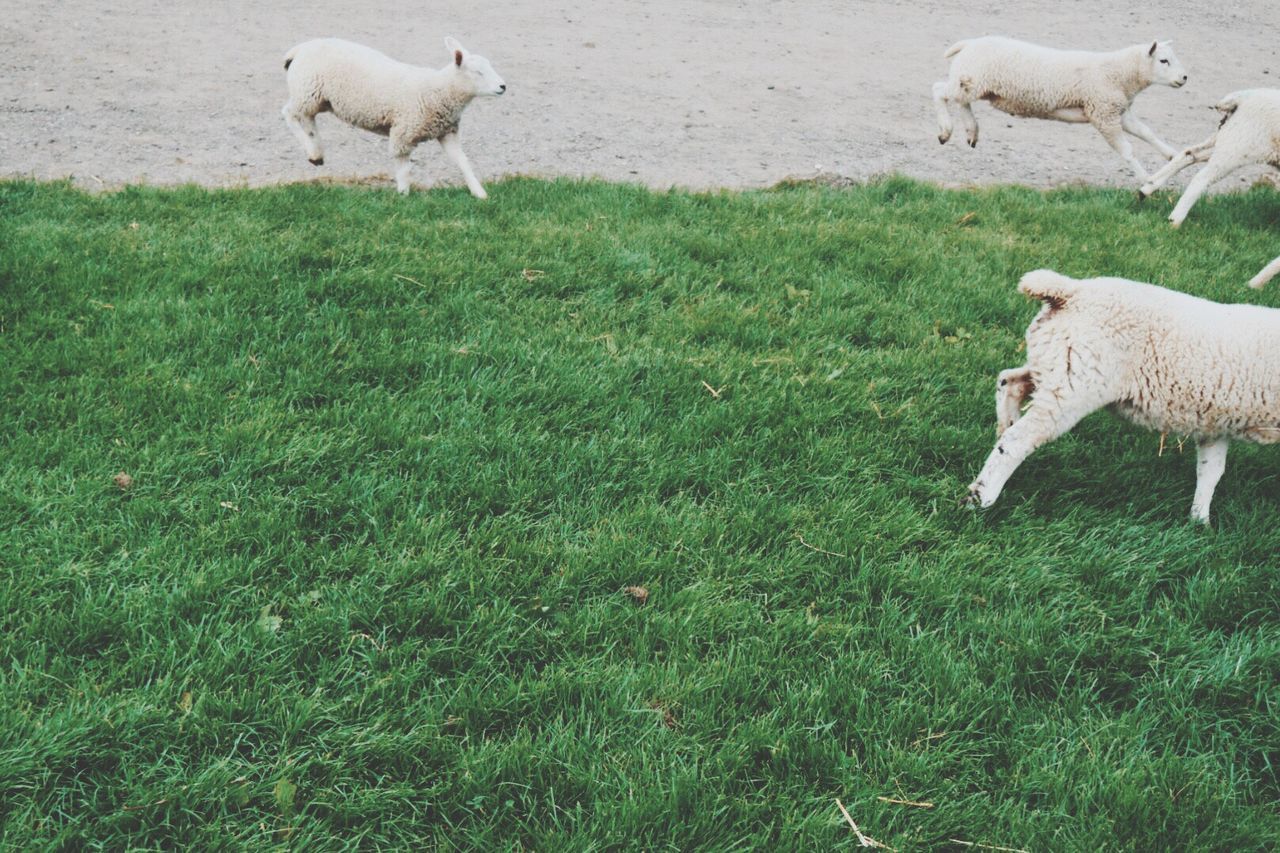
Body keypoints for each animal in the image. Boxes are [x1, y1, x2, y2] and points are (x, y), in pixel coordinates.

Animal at [280, 36, 504, 195]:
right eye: (478, 72)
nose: (503, 86)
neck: (439, 91)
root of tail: (300, 48)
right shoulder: (403, 133)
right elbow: (405, 170)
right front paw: (403, 195)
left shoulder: (447, 132)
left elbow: (463, 161)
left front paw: (479, 193)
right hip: (307, 91)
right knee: (289, 114)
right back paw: (312, 150)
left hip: (319, 98)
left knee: (307, 119)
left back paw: (316, 152)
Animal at [931, 36, 1187, 180]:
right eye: (1163, 60)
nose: (1185, 77)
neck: (1120, 73)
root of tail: (970, 43)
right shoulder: (1103, 113)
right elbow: (1127, 151)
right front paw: (1147, 180)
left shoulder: (1117, 112)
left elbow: (1147, 133)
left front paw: (1172, 155)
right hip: (972, 80)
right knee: (939, 91)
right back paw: (945, 130)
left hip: (975, 84)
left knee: (961, 101)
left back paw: (971, 131)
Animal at [967, 268, 1280, 522]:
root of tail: (1071, 292)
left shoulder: (1217, 423)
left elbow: (1210, 472)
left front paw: (1200, 522)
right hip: (1074, 385)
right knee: (1018, 439)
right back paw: (981, 497)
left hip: (1056, 366)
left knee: (1009, 382)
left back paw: (1002, 430)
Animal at [1141, 89, 1280, 225]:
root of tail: (1243, 97)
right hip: (1239, 147)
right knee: (1202, 177)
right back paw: (1175, 220)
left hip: (1227, 138)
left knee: (1188, 154)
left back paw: (1147, 189)